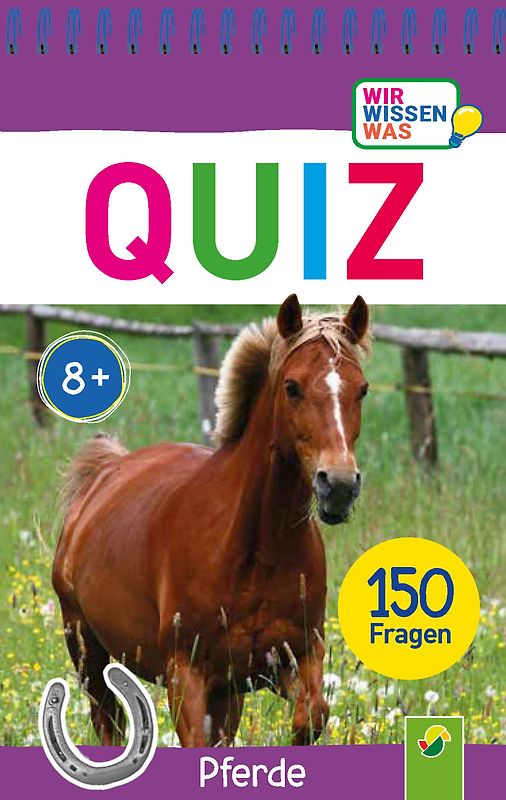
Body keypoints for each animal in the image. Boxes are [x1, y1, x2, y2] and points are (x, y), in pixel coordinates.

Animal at [52, 294, 370, 747]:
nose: (339, 484)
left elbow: (311, 716)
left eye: (362, 389)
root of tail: (104, 474)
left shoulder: (293, 657)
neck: (253, 550)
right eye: (292, 387)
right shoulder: (186, 676)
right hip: (87, 651)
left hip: (225, 693)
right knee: (108, 725)